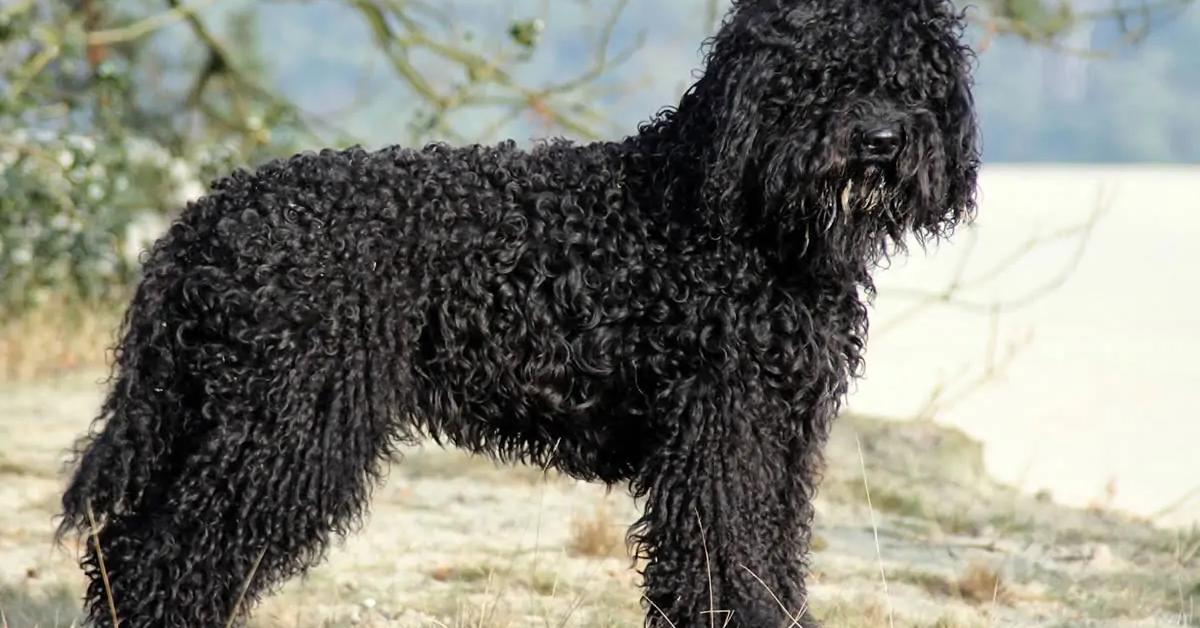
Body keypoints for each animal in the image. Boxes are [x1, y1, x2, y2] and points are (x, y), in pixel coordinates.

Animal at [58, 0, 974, 624]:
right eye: (814, 69)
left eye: (913, 74)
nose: (882, 140)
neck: (735, 214)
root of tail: (201, 218)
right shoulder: (724, 432)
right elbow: (725, 559)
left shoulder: (780, 432)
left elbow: (772, 559)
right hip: (285, 428)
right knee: (161, 562)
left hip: (218, 418)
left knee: (124, 549)